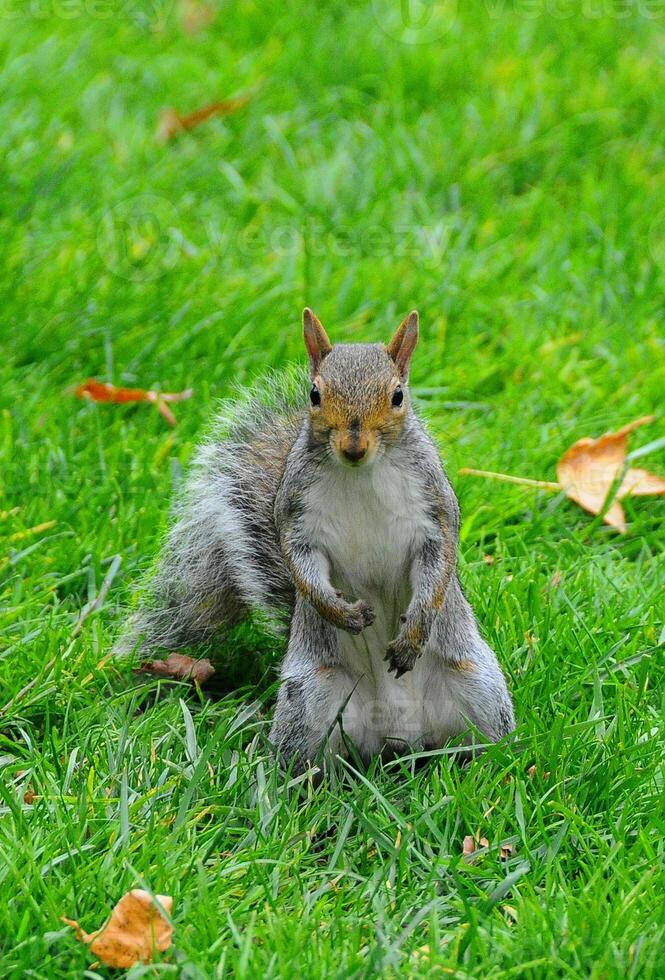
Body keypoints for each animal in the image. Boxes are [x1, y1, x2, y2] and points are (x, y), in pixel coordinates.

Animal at [118, 309, 515, 770]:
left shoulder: (434, 512)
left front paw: (413, 634)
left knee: (483, 743)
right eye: (314, 395)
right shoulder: (296, 519)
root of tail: (400, 737)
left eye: (398, 396)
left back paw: (493, 766)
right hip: (310, 697)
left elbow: (437, 568)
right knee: (311, 760)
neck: (361, 473)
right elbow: (302, 569)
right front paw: (341, 613)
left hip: (478, 685)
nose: (353, 447)